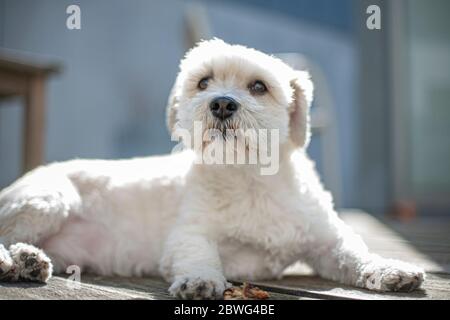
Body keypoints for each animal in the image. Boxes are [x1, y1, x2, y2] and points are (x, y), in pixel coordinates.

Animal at [0, 39, 424, 298]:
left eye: (258, 87)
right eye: (203, 82)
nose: (220, 103)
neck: (250, 178)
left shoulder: (327, 241)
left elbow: (356, 254)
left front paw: (391, 269)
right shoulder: (189, 234)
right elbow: (200, 254)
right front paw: (201, 279)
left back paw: (27, 261)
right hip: (47, 199)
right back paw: (13, 261)